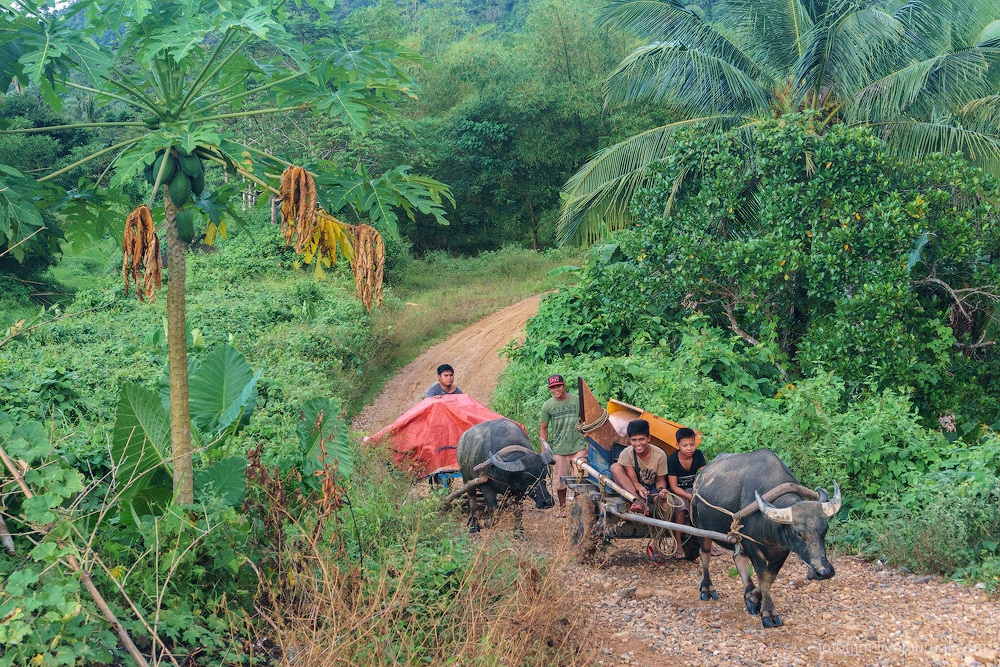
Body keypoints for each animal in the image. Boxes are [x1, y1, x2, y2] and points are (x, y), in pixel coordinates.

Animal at [696, 452, 844, 628]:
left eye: (825, 529)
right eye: (798, 532)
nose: (824, 571)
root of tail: (700, 478)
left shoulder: (781, 550)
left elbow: (770, 577)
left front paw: (752, 598)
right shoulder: (752, 546)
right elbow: (764, 577)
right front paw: (768, 612)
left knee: (739, 558)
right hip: (701, 529)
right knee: (705, 554)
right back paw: (707, 589)